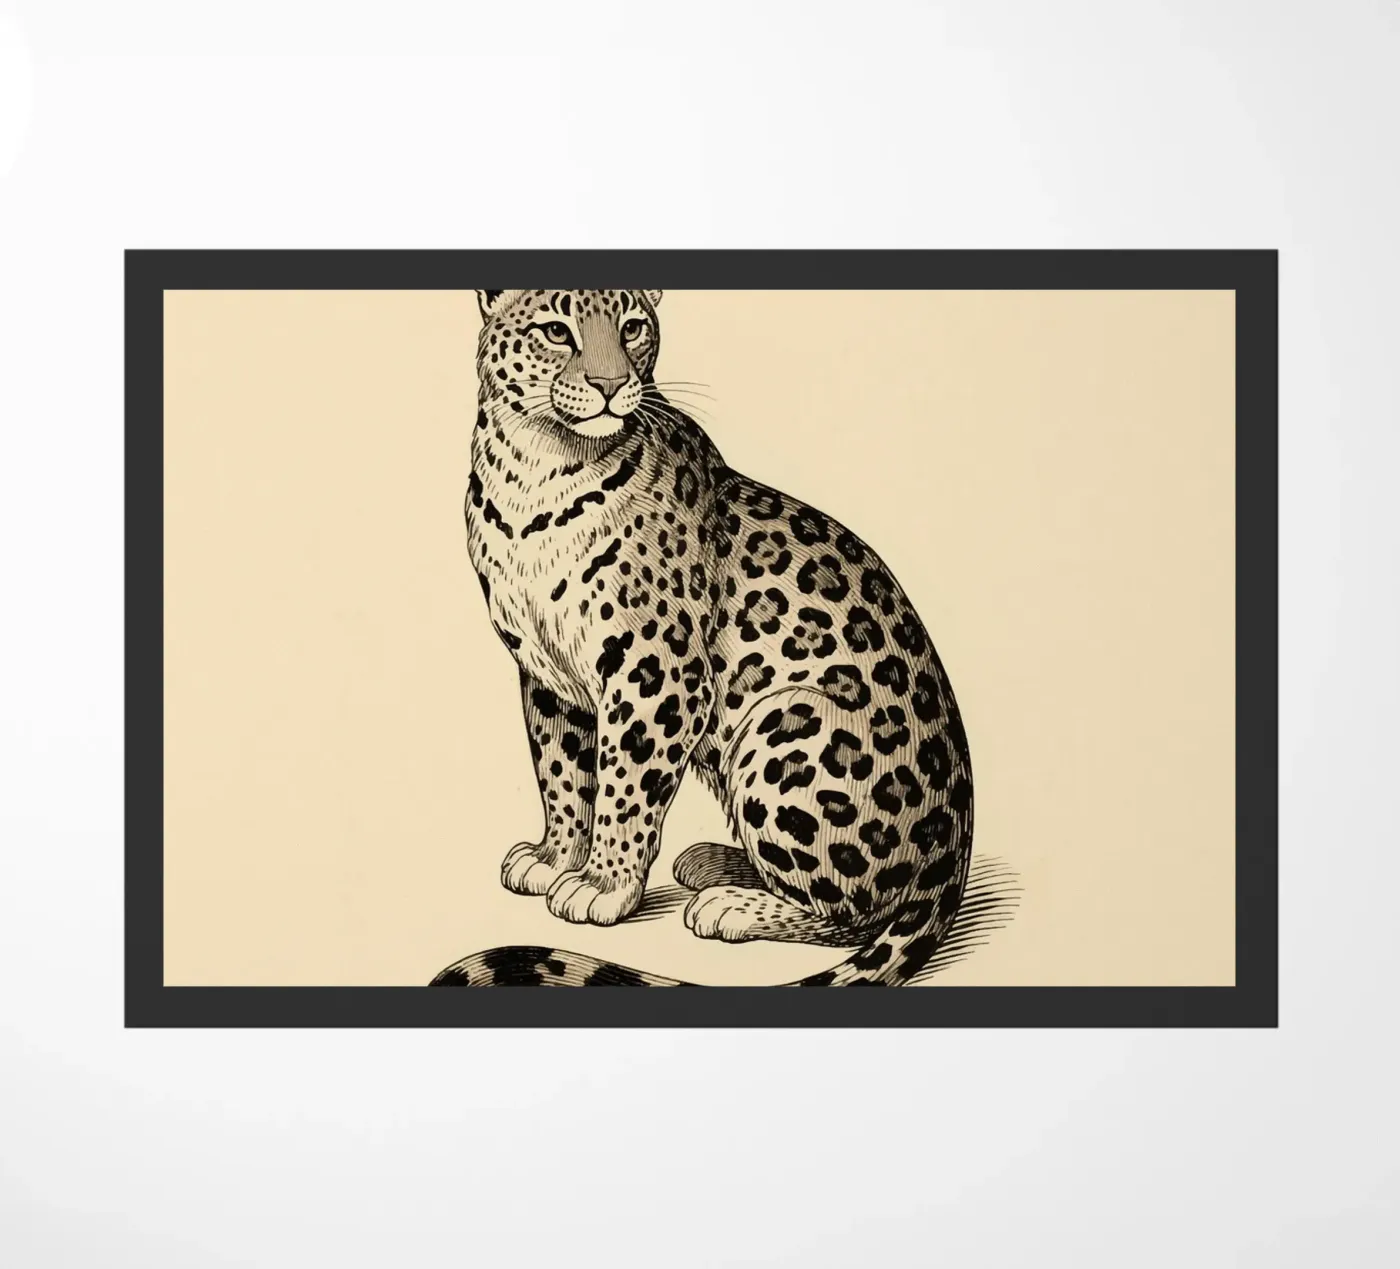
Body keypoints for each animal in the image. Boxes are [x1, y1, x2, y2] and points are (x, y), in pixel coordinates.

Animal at [430, 288, 973, 986]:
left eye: (633, 328)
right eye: (556, 332)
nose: (611, 386)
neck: (535, 470)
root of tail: (951, 864)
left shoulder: (657, 673)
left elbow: (625, 784)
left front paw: (603, 884)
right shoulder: (546, 674)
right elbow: (561, 771)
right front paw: (556, 857)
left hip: (786, 729)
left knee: (853, 911)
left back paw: (729, 904)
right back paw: (715, 862)